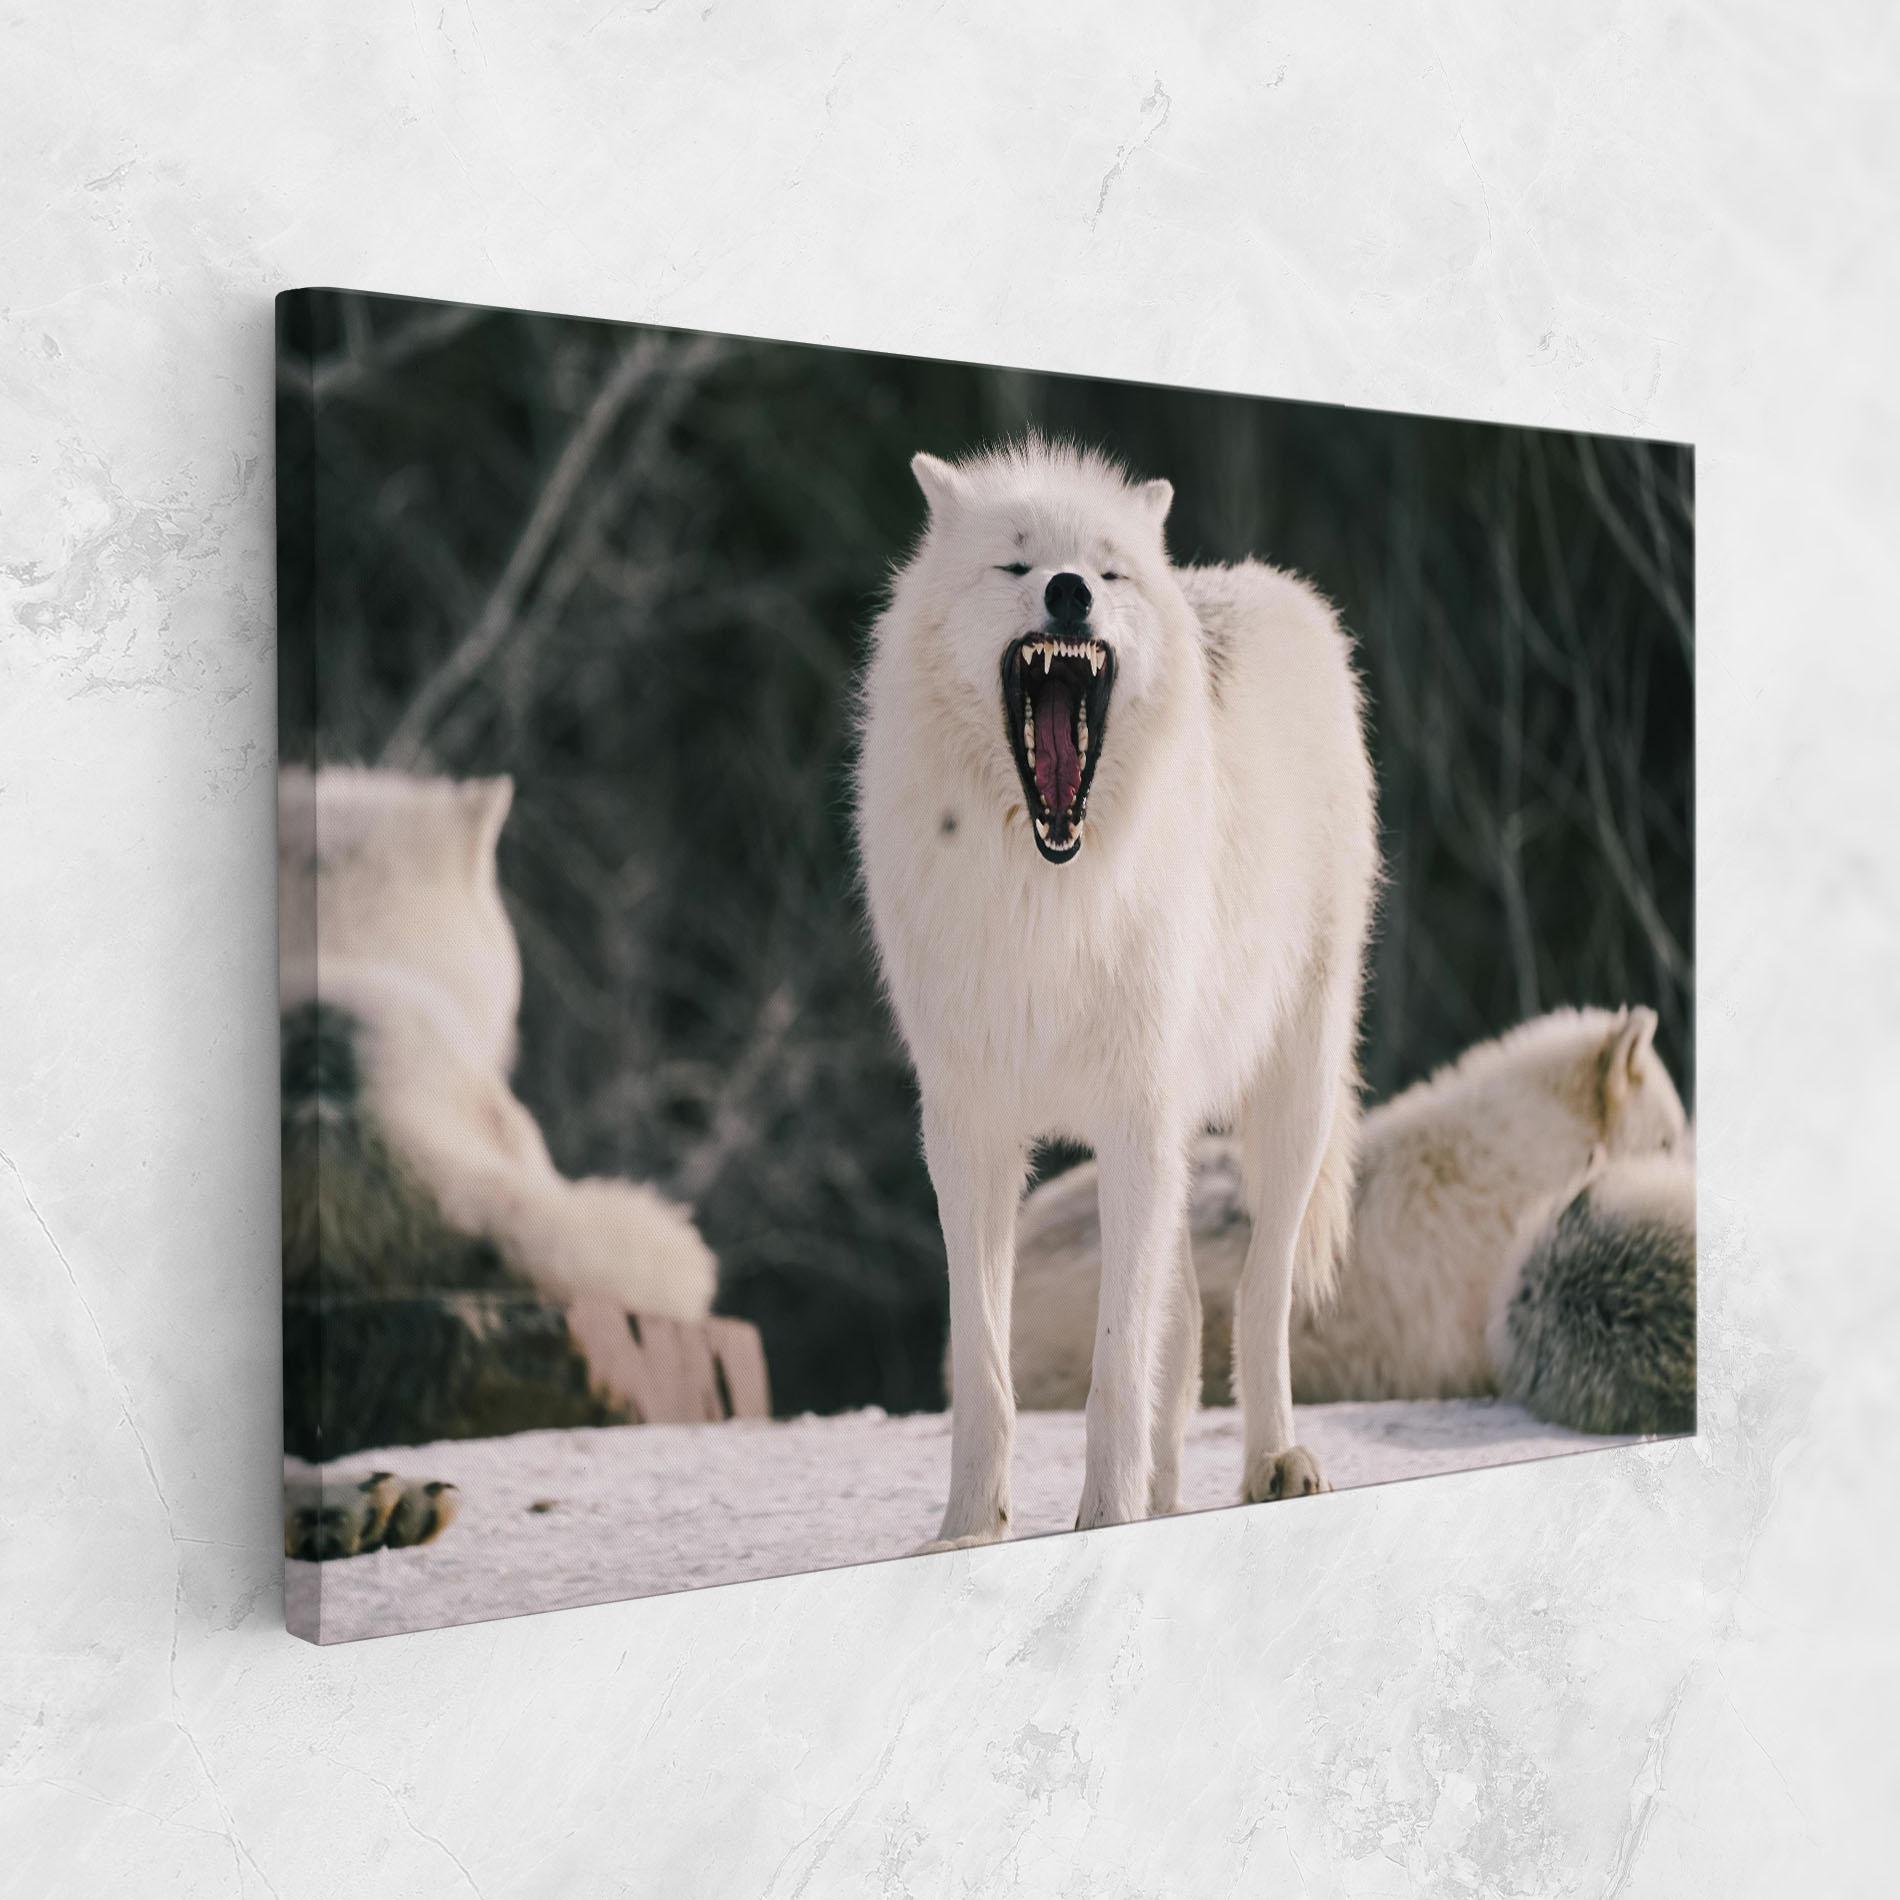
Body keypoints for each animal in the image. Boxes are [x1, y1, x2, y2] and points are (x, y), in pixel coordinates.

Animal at [856, 439, 1377, 1545]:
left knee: (1258, 1298)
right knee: (1185, 1323)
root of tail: (1262, 584)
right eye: (1016, 564)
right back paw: (1169, 1496)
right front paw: (969, 1527)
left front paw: (1103, 1517)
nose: (1068, 593)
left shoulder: (1133, 1121)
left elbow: (1113, 1367)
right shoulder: (967, 1134)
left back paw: (1273, 1462)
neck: (1047, 893)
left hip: (1292, 1099)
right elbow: (986, 1366)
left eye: (1107, 570)